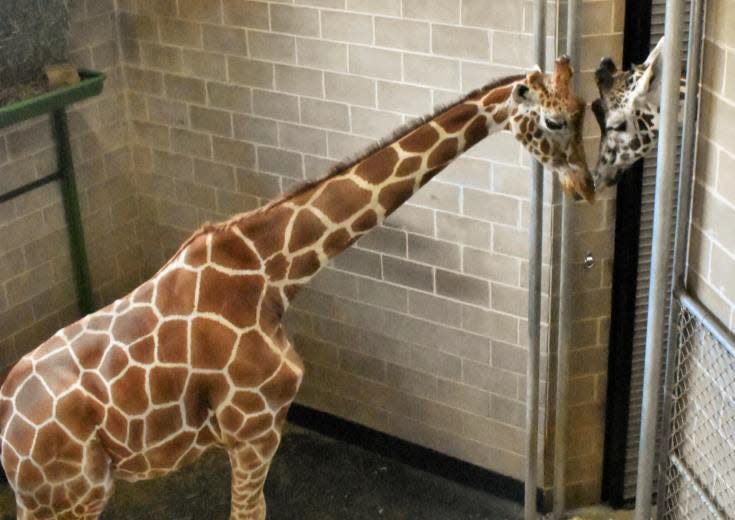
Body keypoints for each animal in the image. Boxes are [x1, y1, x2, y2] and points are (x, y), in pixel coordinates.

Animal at [0, 54, 588, 516]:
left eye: (585, 111)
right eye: (554, 121)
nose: (583, 186)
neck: (274, 272)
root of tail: (7, 436)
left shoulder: (255, 432)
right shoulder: (253, 429)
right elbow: (249, 512)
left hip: (54, 500)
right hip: (75, 496)